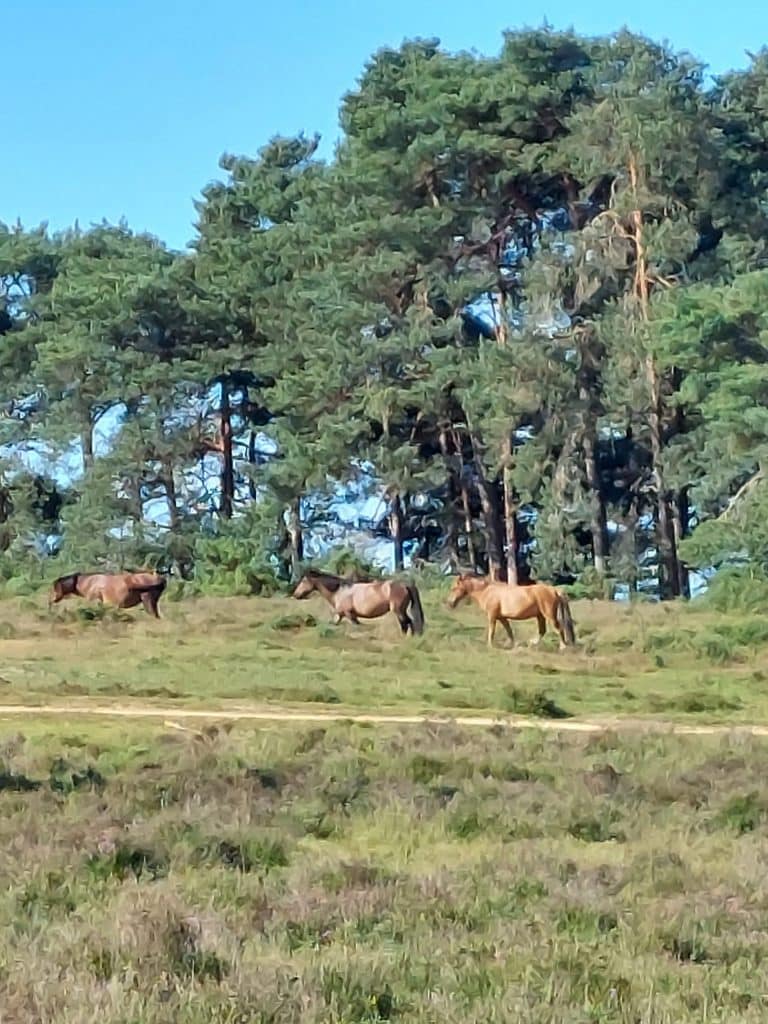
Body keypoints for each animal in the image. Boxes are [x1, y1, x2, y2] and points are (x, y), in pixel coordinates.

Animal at [292, 570, 425, 635]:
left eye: (303, 581)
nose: (296, 595)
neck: (339, 591)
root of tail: (405, 584)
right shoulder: (340, 615)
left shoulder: (349, 614)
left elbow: (358, 626)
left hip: (399, 611)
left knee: (407, 623)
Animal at [447, 573, 576, 649]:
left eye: (454, 588)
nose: (450, 603)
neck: (487, 591)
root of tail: (554, 590)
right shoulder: (502, 618)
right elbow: (509, 630)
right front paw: (512, 644)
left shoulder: (492, 616)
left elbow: (492, 631)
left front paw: (490, 645)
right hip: (540, 616)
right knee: (542, 631)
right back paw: (532, 643)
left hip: (549, 615)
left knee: (558, 629)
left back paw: (563, 647)